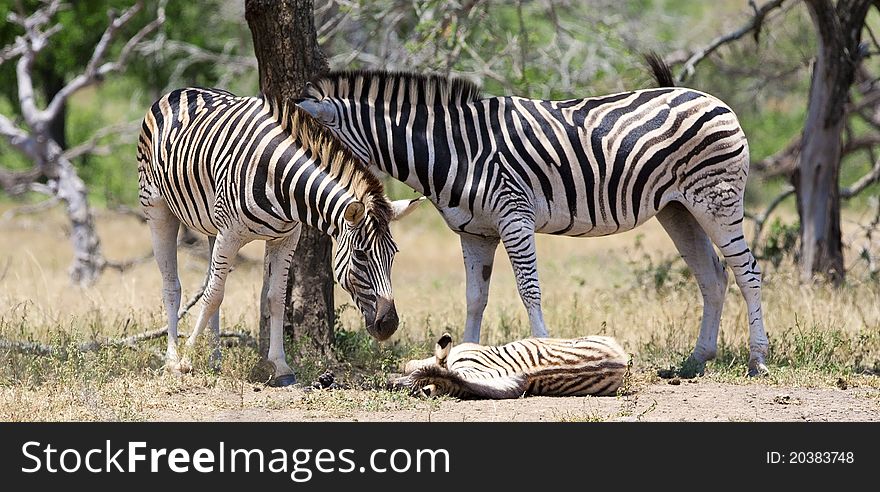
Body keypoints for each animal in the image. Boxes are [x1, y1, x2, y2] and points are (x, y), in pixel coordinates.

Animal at [139, 86, 422, 386]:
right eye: (360, 255)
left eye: (393, 255)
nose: (389, 325)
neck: (279, 180)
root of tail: (179, 91)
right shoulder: (230, 233)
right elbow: (213, 296)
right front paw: (187, 359)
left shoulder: (286, 238)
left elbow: (276, 298)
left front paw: (280, 366)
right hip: (157, 208)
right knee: (173, 286)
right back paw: (172, 359)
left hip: (211, 225)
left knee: (210, 283)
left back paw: (214, 361)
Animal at [296, 57, 768, 374]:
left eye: (319, 146)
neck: (454, 151)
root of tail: (714, 100)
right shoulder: (474, 232)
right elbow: (475, 298)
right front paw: (462, 360)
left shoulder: (514, 216)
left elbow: (529, 291)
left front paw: (545, 353)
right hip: (677, 209)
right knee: (713, 276)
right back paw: (696, 361)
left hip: (716, 199)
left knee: (747, 272)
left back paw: (757, 360)